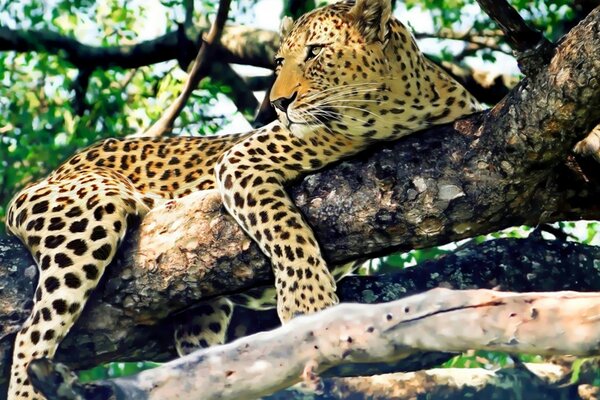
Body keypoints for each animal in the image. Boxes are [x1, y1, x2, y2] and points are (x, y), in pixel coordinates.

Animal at [4, 0, 480, 396]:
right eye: (279, 62)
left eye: (315, 53)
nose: (280, 103)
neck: (392, 111)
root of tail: (50, 173)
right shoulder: (242, 160)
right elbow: (285, 228)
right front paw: (308, 304)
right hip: (90, 212)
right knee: (33, 333)